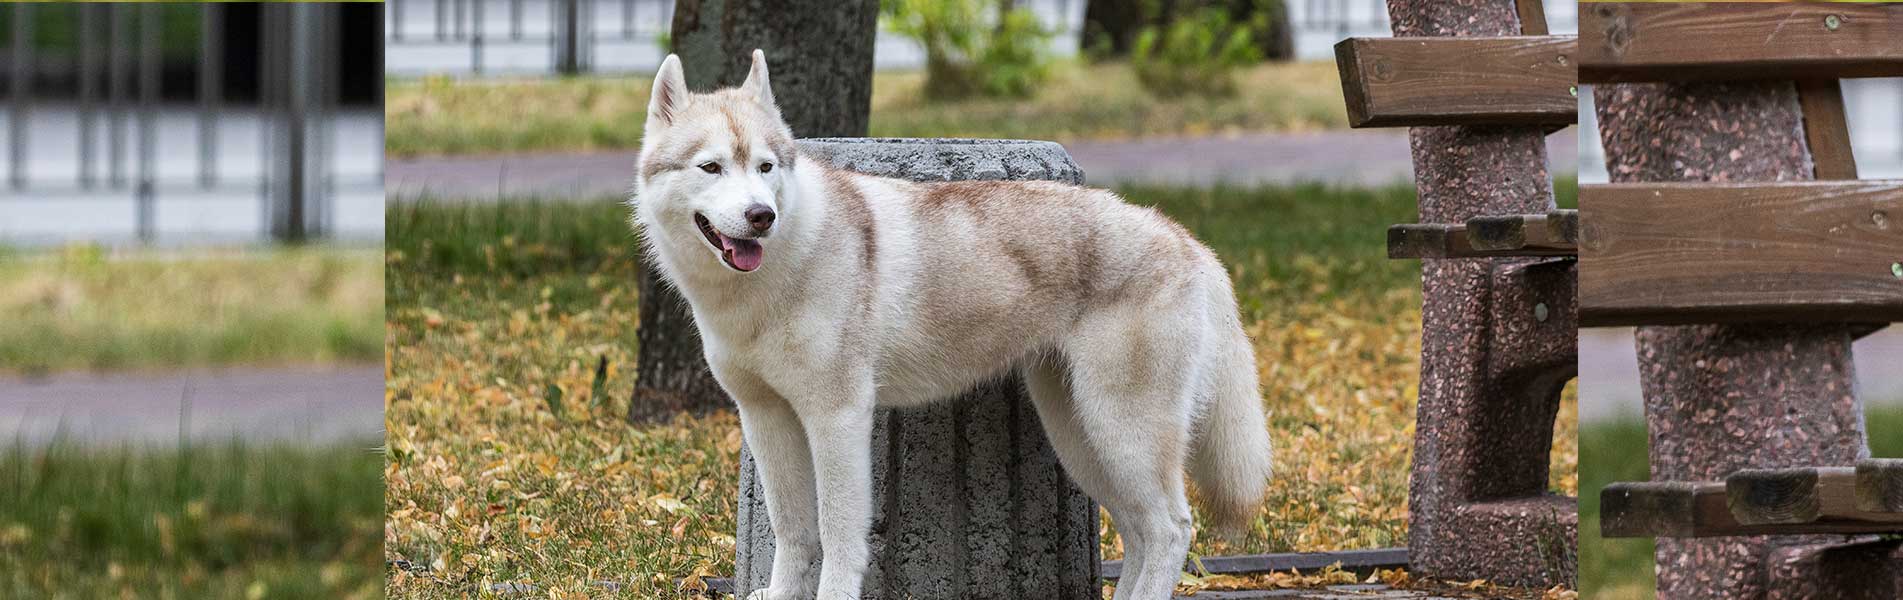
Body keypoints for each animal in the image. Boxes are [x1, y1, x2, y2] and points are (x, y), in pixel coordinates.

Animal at [631, 51, 1271, 600]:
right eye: (711, 167)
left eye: (765, 166)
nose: (761, 215)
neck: (769, 280)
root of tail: (1183, 237)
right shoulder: (766, 416)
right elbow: (794, 530)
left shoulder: (837, 416)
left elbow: (838, 533)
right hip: (1081, 435)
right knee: (1141, 532)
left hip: (1122, 430)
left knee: (1170, 528)